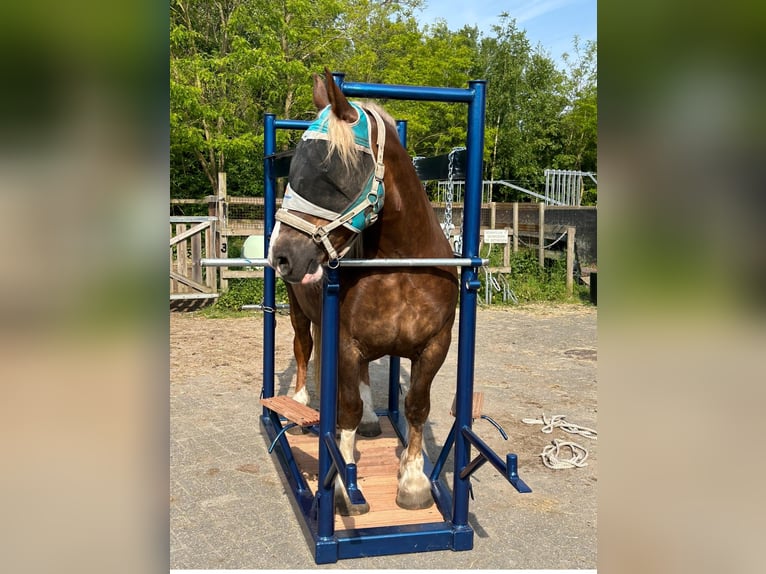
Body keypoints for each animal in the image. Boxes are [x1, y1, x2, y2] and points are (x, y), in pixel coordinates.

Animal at [268, 72, 460, 516]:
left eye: (327, 169)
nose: (281, 255)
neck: (403, 268)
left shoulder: (435, 345)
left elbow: (415, 406)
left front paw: (413, 482)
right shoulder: (345, 341)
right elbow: (347, 410)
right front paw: (343, 485)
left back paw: (374, 419)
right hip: (297, 310)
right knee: (303, 349)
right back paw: (300, 402)